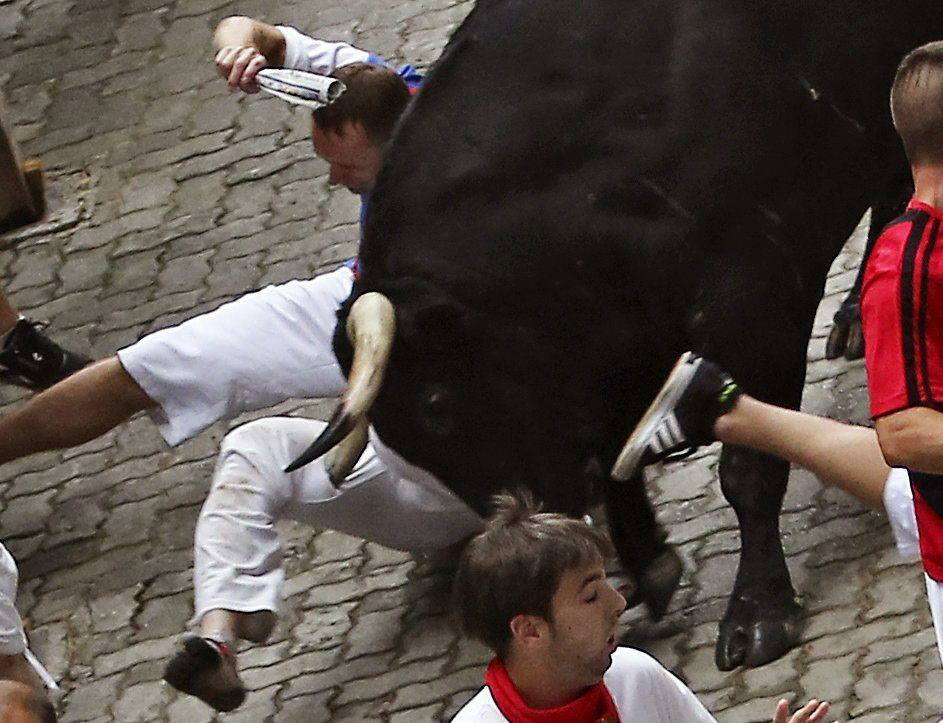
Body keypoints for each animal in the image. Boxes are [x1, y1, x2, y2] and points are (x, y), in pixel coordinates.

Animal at [328, 0, 940, 672]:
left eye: (437, 405)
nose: (530, 526)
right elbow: (616, 459)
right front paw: (649, 563)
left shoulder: (756, 304)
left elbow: (747, 470)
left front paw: (757, 612)